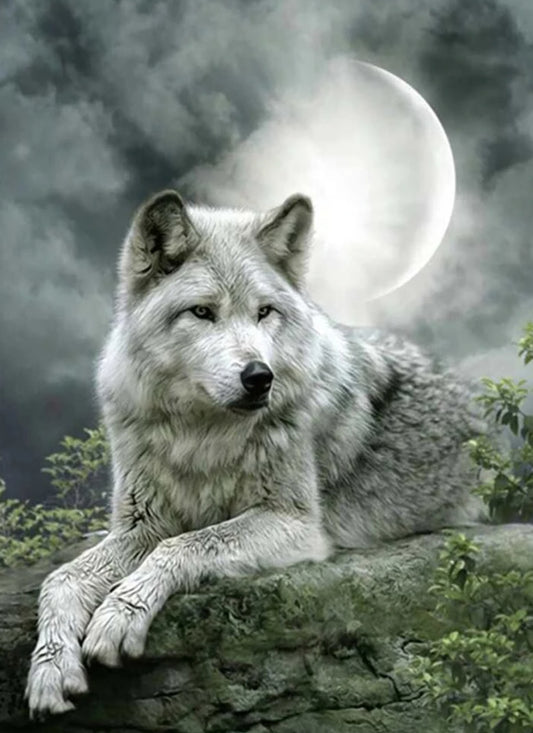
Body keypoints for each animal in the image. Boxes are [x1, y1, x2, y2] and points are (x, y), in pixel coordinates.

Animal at [26, 189, 487, 717]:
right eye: (202, 312)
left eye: (264, 312)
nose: (259, 377)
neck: (201, 435)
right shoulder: (141, 524)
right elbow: (60, 579)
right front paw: (50, 669)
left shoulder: (295, 524)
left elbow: (184, 545)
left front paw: (119, 614)